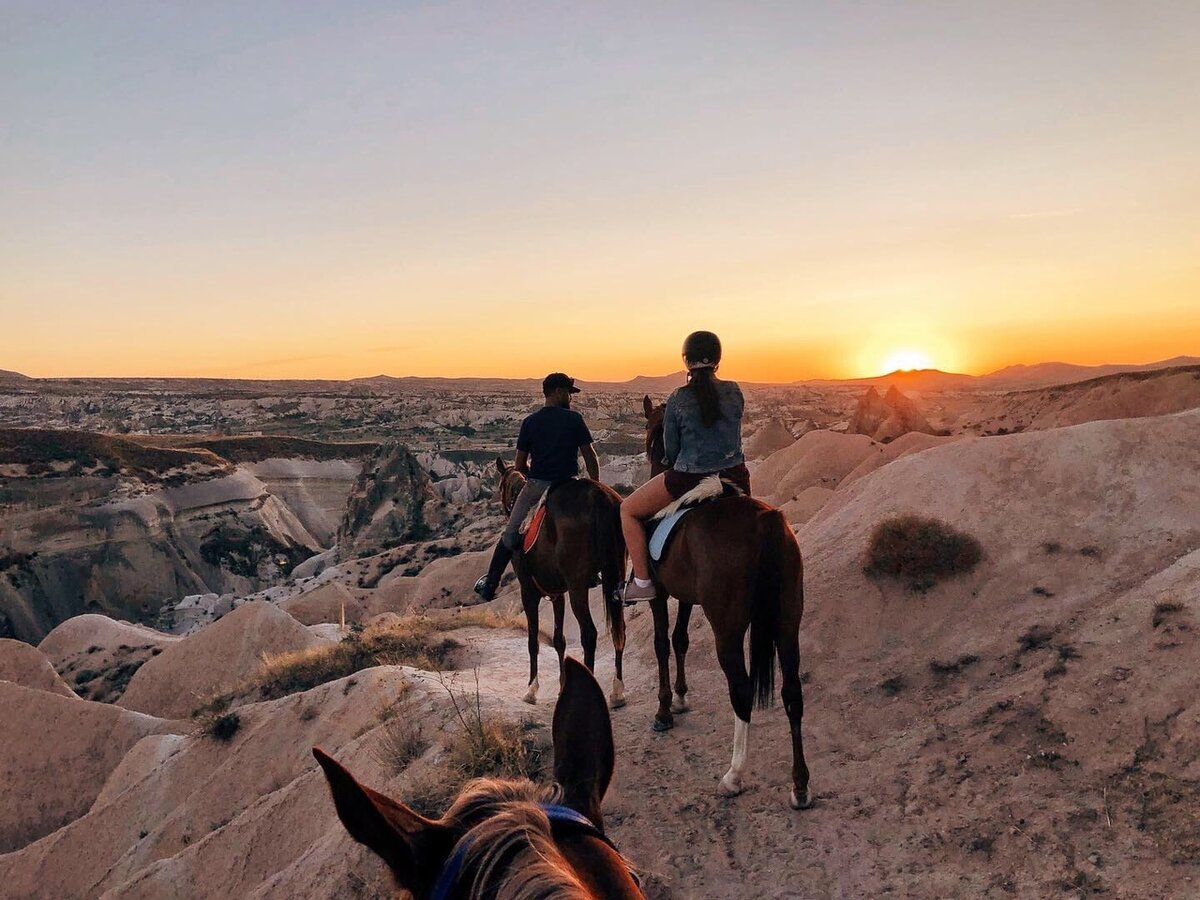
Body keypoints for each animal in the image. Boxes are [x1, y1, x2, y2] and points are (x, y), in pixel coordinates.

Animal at [494, 465, 628, 710]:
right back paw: (617, 692)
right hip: (616, 574)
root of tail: (599, 496)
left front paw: (531, 689)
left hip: (577, 586)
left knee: (589, 634)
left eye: (500, 486)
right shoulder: (557, 595)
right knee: (619, 629)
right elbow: (559, 641)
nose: (506, 509)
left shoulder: (529, 592)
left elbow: (533, 641)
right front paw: (563, 686)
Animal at [638, 393, 816, 811]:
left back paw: (734, 776)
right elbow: (680, 639)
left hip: (729, 629)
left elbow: (661, 643)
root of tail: (767, 520)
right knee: (792, 693)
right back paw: (800, 785)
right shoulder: (687, 596)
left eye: (653, 435)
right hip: (788, 621)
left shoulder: (660, 594)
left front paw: (665, 709)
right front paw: (682, 698)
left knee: (742, 690)